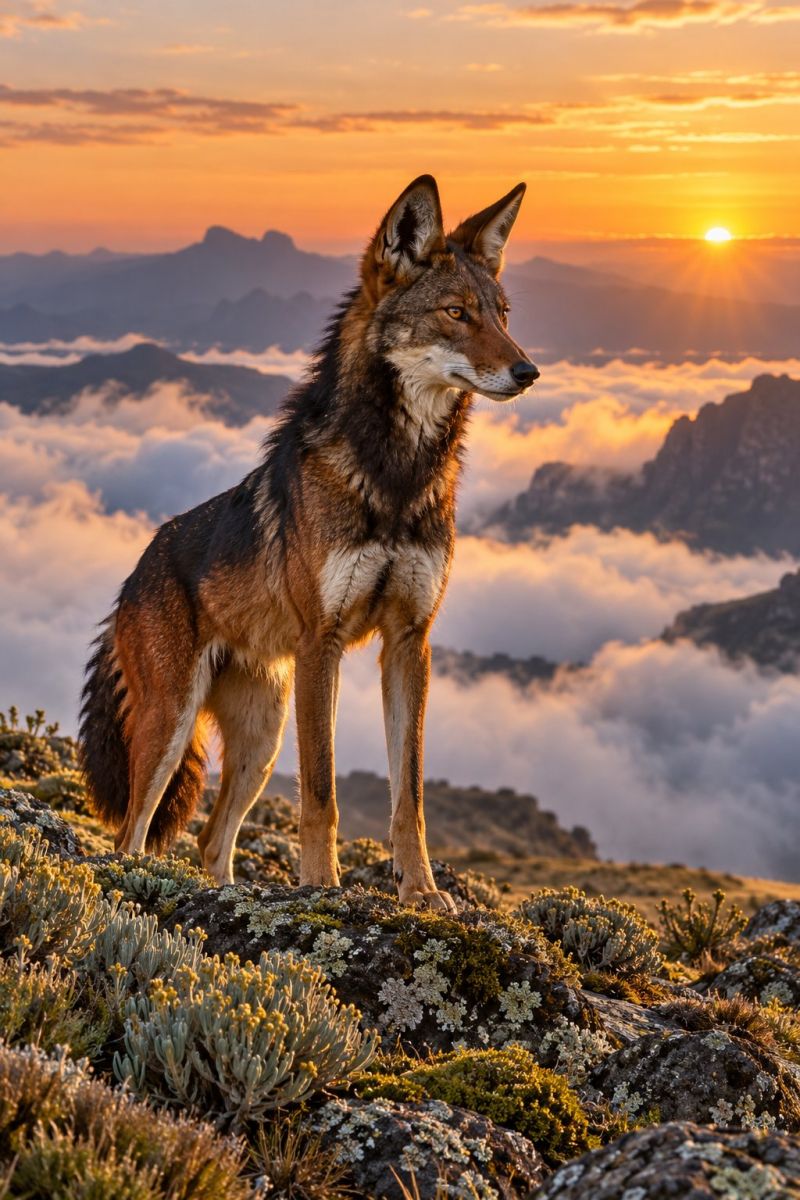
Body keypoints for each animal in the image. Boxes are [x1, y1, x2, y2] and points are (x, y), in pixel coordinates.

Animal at [79, 175, 538, 910]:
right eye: (456, 313)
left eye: (502, 313)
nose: (529, 372)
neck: (398, 476)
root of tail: (133, 575)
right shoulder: (323, 644)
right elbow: (322, 792)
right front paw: (323, 888)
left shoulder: (410, 643)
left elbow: (409, 795)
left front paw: (423, 892)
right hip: (171, 729)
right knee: (133, 834)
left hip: (262, 741)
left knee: (211, 842)